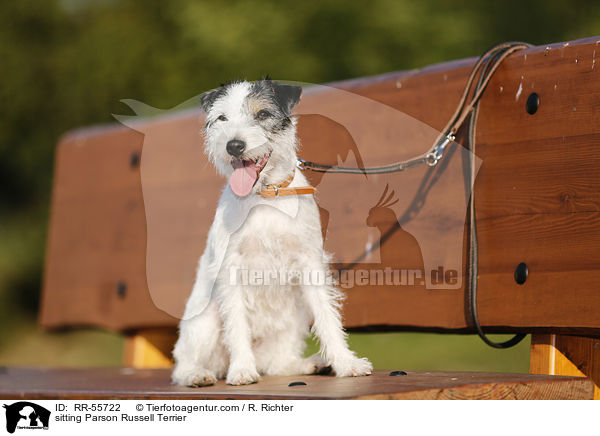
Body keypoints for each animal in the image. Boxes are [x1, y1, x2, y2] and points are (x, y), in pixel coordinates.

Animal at [171, 78, 372, 384]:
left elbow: (328, 317)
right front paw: (242, 369)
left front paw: (346, 363)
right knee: (182, 364)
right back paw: (198, 375)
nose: (234, 145)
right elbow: (237, 325)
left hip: (295, 316)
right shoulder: (231, 268)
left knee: (276, 364)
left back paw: (308, 364)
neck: (265, 197)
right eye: (222, 118)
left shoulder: (310, 262)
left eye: (262, 114)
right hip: (204, 322)